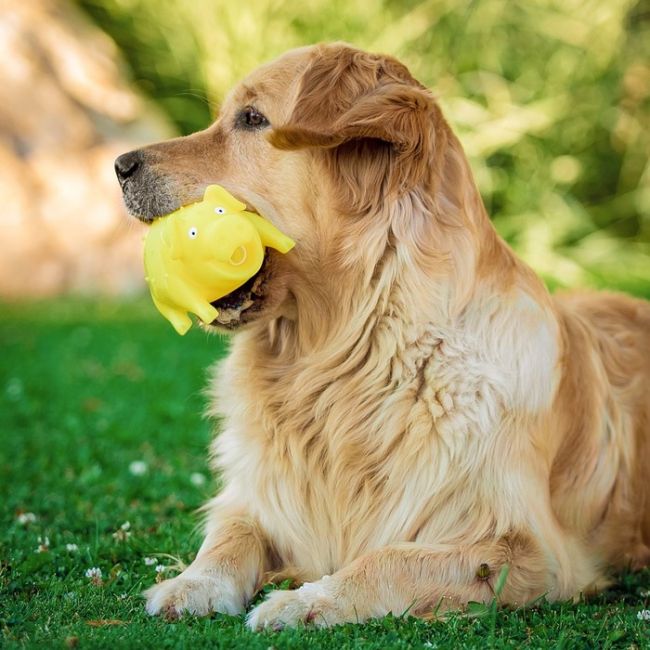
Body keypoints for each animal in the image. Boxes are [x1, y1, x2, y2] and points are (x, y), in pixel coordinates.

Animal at [115, 41, 648, 628]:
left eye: (252, 119)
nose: (120, 165)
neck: (350, 354)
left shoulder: (527, 549)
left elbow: (388, 559)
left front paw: (307, 600)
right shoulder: (257, 496)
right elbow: (228, 534)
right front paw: (194, 583)